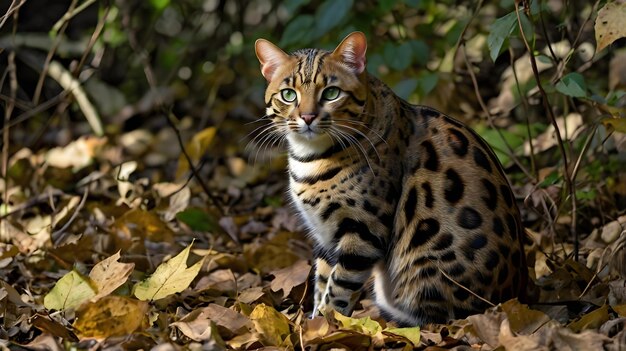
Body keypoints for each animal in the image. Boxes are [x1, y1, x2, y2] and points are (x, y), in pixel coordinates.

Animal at [254, 31, 528, 326]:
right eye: (288, 94)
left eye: (331, 93)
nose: (307, 117)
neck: (310, 159)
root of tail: (516, 294)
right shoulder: (324, 235)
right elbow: (322, 280)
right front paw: (315, 322)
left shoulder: (364, 228)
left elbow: (338, 288)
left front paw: (327, 326)